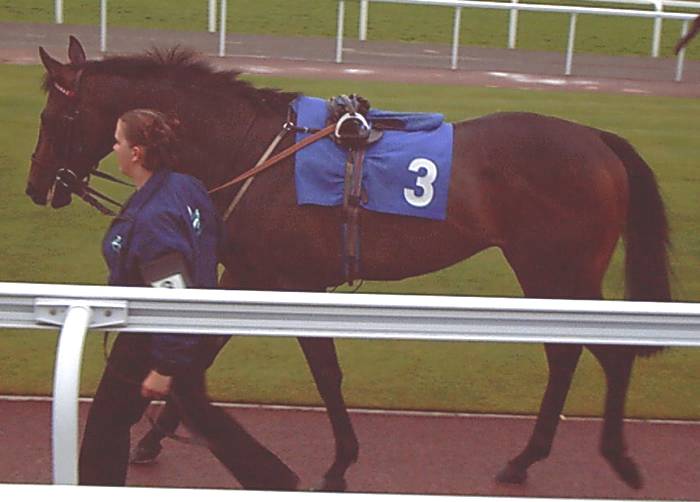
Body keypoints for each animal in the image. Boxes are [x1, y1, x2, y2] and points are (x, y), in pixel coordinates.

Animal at [27, 36, 671, 491]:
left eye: (52, 119)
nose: (36, 186)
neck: (252, 151)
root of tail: (597, 139)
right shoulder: (251, 277)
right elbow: (204, 350)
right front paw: (151, 436)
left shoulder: (291, 283)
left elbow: (322, 372)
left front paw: (339, 463)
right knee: (568, 355)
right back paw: (530, 459)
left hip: (559, 269)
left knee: (600, 353)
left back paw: (609, 458)